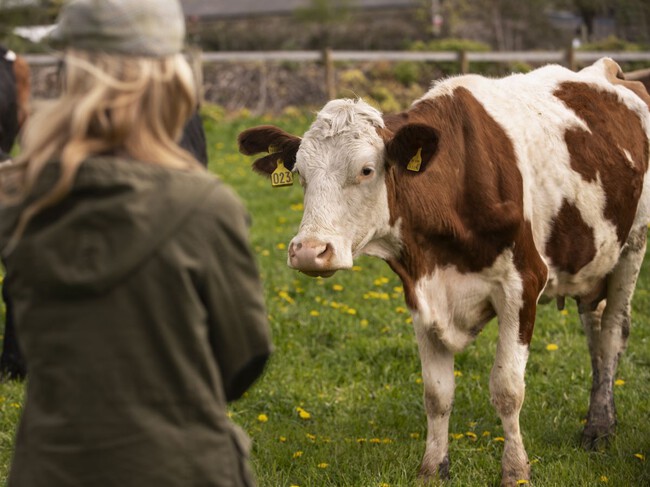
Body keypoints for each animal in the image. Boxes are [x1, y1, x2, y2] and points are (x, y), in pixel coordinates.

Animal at [238, 57, 650, 486]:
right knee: (595, 329)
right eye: (300, 173)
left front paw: (515, 470)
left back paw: (599, 429)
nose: (308, 251)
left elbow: (508, 388)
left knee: (612, 333)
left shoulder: (523, 283)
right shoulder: (421, 290)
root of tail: (608, 69)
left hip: (633, 245)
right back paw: (601, 419)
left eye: (366, 170)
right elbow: (437, 394)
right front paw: (433, 467)